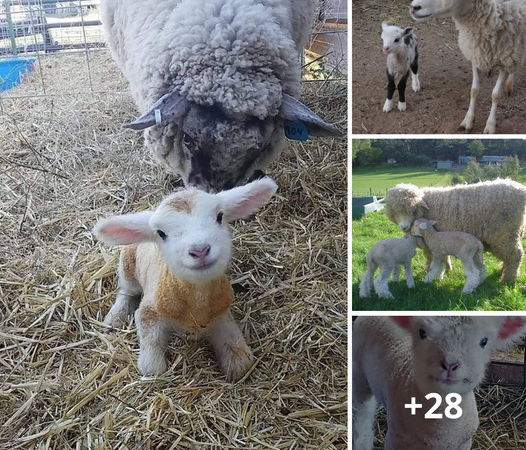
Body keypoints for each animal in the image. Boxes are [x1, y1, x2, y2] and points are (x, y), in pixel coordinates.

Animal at [93, 178, 278, 382]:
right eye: (161, 233)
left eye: (219, 216)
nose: (200, 250)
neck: (197, 301)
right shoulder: (149, 311)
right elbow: (152, 365)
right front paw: (152, 365)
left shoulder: (221, 313)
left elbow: (240, 357)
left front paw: (236, 363)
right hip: (127, 264)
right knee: (126, 291)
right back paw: (115, 317)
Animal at [352, 314, 526, 450]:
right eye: (422, 333)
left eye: (484, 341)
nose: (450, 364)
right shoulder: (396, 440)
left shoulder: (463, 443)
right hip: (359, 374)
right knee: (362, 412)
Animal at [412, 0, 526, 134]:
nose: (414, 7)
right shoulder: (475, 52)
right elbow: (474, 90)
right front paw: (468, 120)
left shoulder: (507, 57)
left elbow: (495, 94)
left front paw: (490, 126)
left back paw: (509, 84)